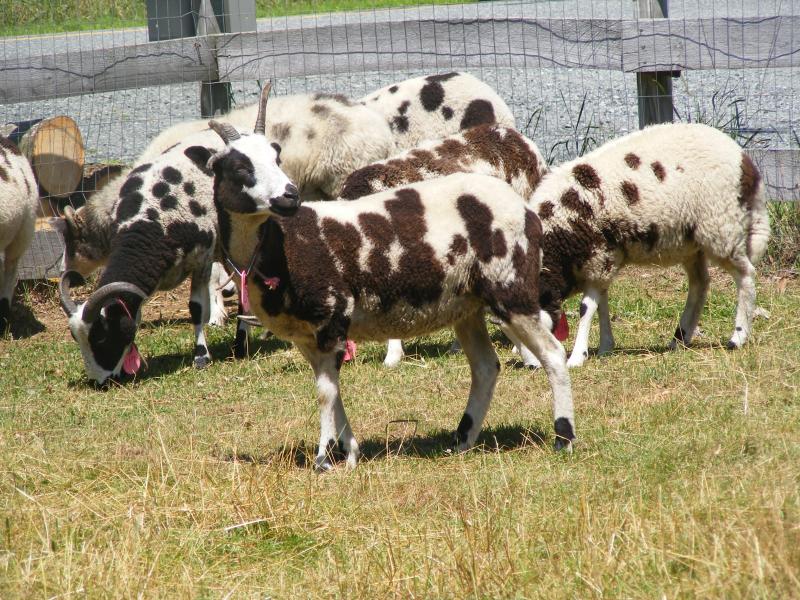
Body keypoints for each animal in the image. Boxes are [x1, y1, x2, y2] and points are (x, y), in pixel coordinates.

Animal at [57, 128, 268, 385]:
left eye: (101, 337)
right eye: (76, 338)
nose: (100, 383)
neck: (152, 221)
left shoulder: (202, 259)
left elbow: (196, 308)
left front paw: (201, 356)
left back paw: (243, 343)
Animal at [523, 122, 770, 368]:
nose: (532, 366)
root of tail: (743, 158)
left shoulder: (600, 257)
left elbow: (586, 308)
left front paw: (577, 357)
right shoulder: (602, 262)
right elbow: (601, 303)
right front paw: (605, 347)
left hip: (720, 225)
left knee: (745, 274)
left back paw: (737, 337)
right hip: (691, 242)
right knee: (700, 283)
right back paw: (680, 338)